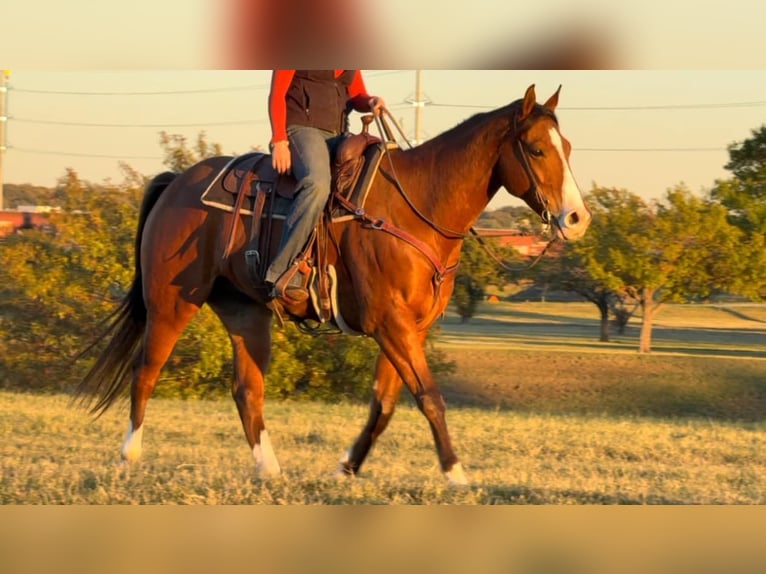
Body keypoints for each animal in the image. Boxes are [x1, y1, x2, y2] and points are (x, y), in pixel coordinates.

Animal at [76, 84, 591, 485]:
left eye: (567, 147)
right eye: (537, 149)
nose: (576, 219)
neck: (417, 206)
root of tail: (176, 181)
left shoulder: (409, 328)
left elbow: (384, 404)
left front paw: (345, 467)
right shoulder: (391, 324)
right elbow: (429, 397)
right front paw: (456, 474)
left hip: (245, 311)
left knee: (246, 389)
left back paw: (269, 470)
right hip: (170, 303)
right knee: (146, 371)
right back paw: (130, 457)